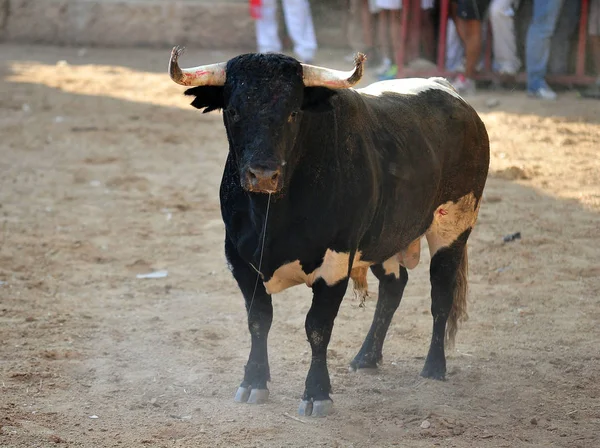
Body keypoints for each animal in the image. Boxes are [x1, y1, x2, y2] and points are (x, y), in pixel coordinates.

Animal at [171, 51, 490, 416]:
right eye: (234, 110)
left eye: (293, 112)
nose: (263, 174)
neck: (271, 216)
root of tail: (448, 91)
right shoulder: (239, 261)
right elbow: (258, 321)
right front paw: (253, 381)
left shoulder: (336, 263)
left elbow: (318, 328)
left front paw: (316, 393)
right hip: (383, 239)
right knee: (394, 288)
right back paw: (366, 357)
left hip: (453, 227)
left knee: (441, 296)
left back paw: (434, 367)